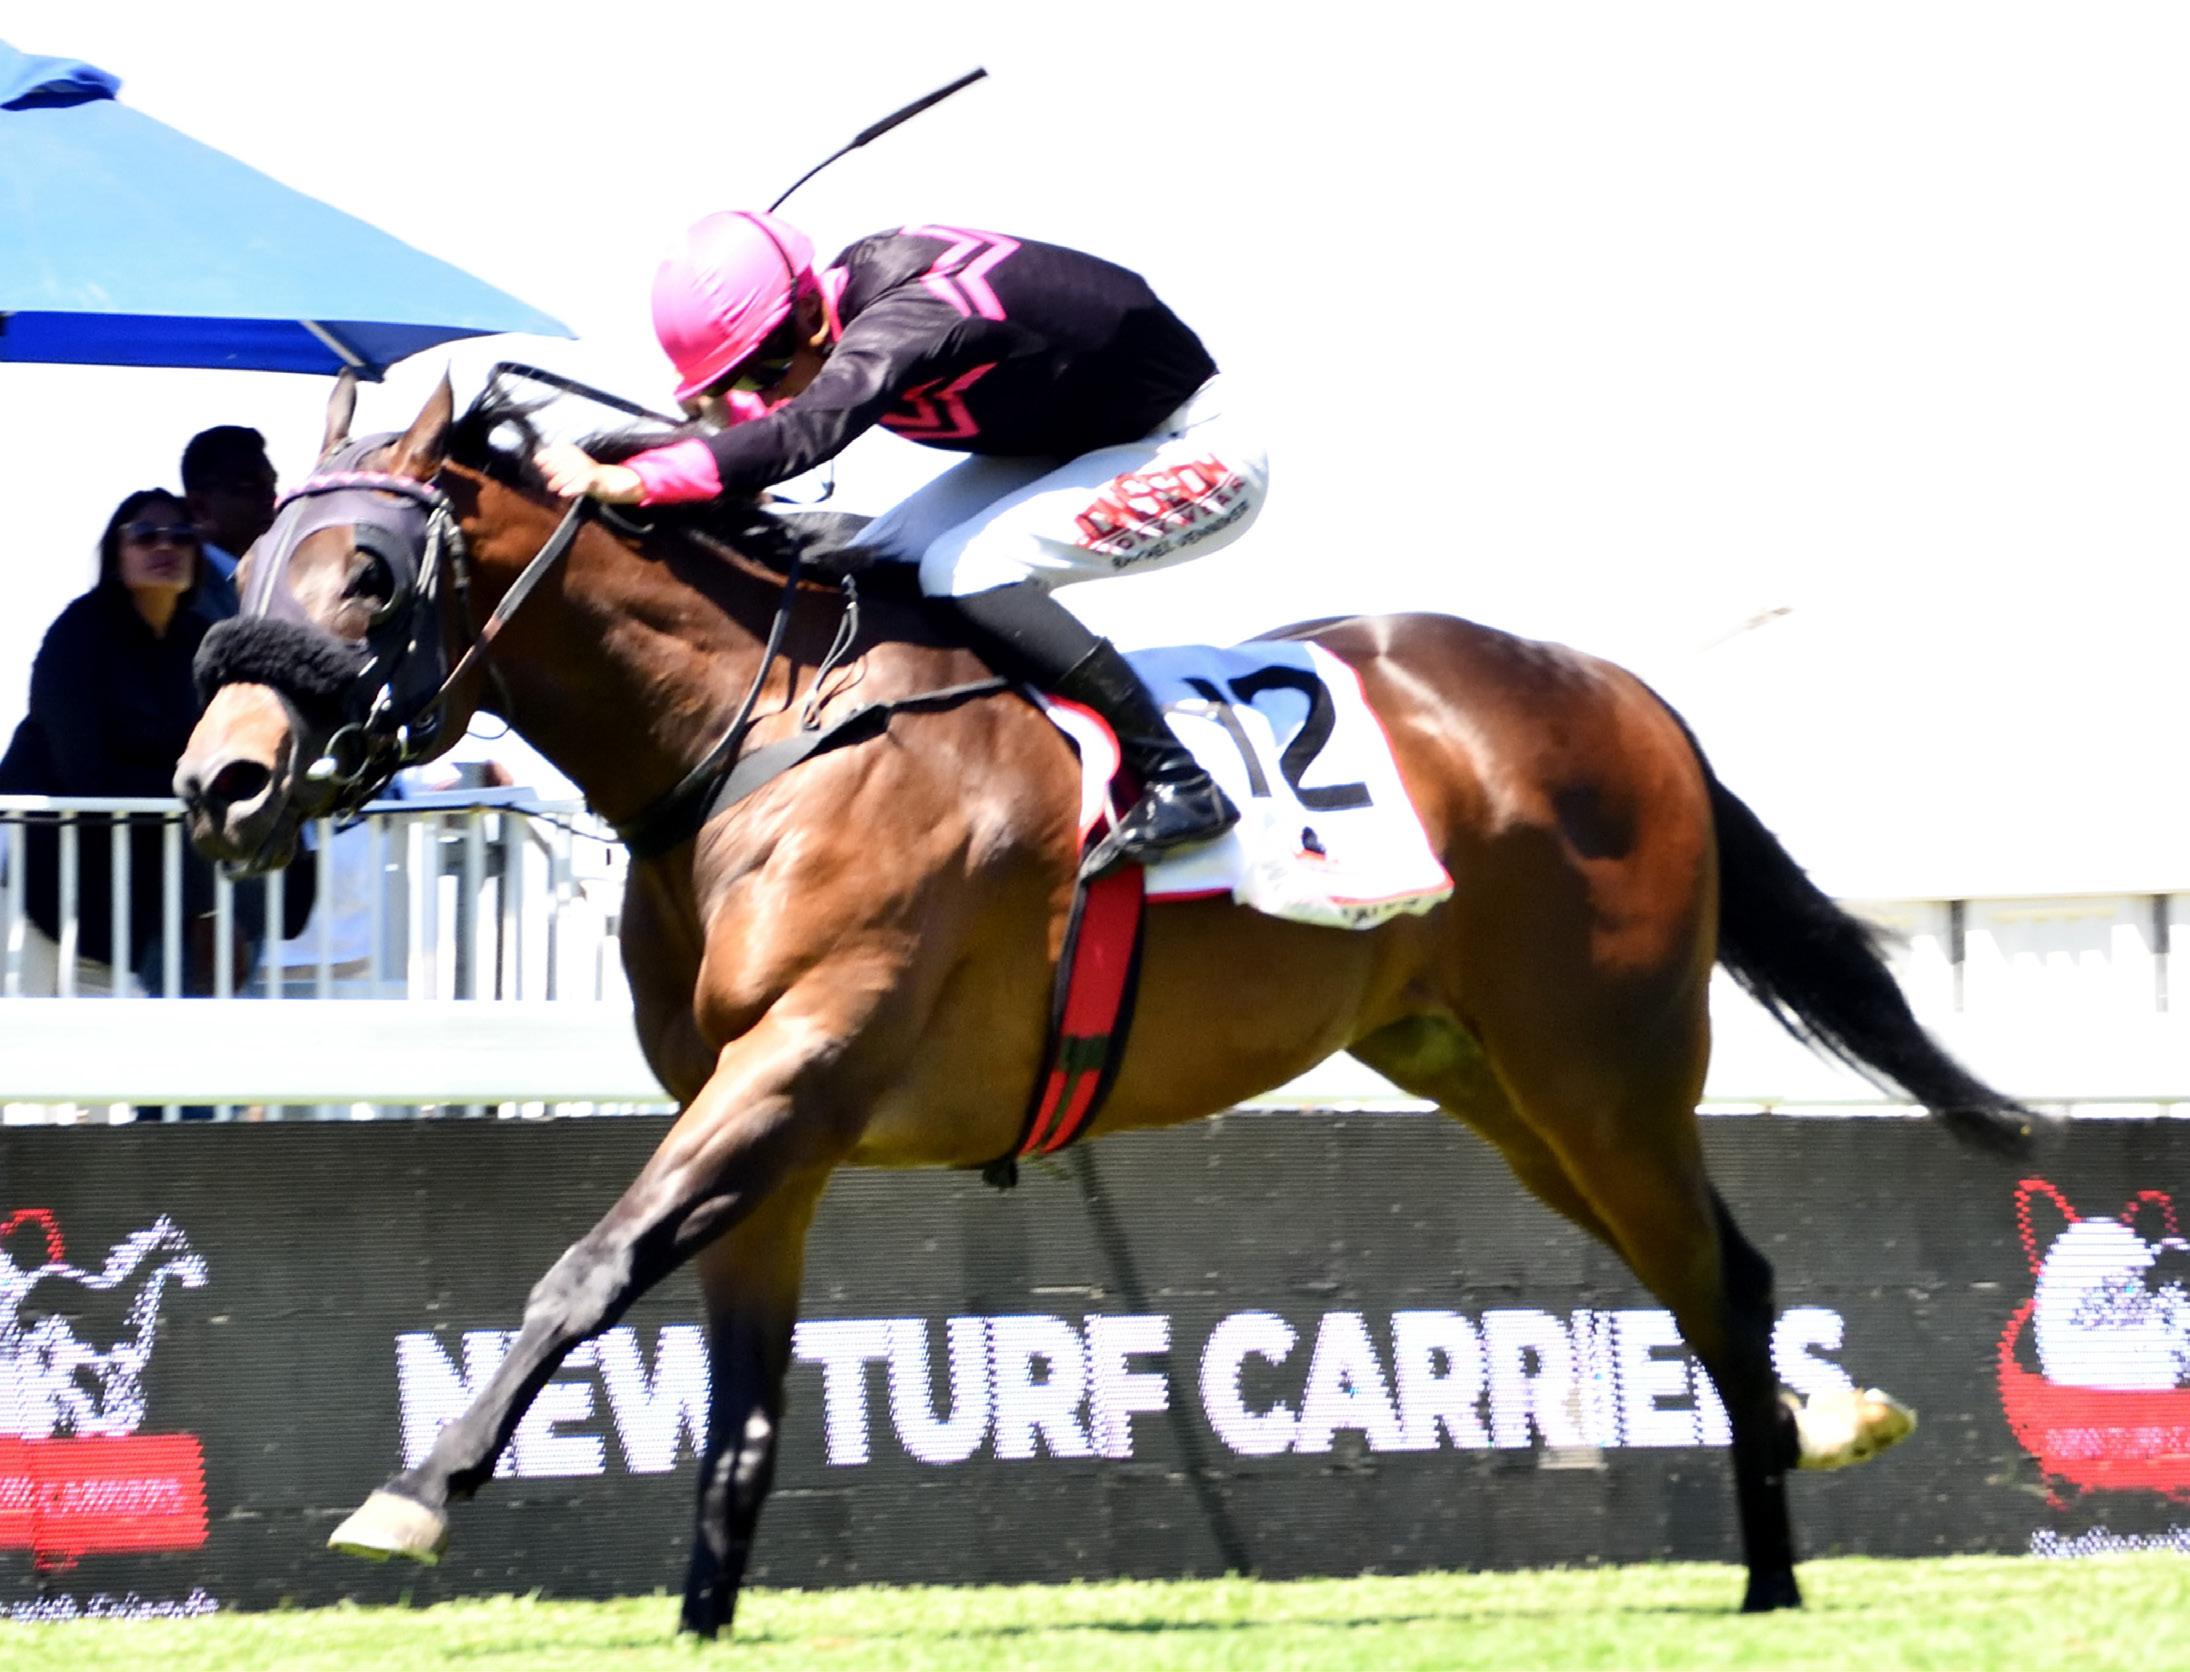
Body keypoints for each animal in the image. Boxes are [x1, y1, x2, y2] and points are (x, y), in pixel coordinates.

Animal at [173, 373, 2034, 1636]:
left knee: (1718, 1275)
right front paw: (700, 1617)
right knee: (1713, 1271)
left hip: (1607, 1066)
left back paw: (1777, 1571)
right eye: (244, 565)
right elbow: (740, 1400)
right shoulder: (771, 1122)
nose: (220, 782)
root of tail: (1625, 694)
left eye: (368, 576)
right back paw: (1807, 1466)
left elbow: (583, 1269)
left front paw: (412, 1493)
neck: (758, 735)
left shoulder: (797, 1064)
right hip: (1500, 1090)